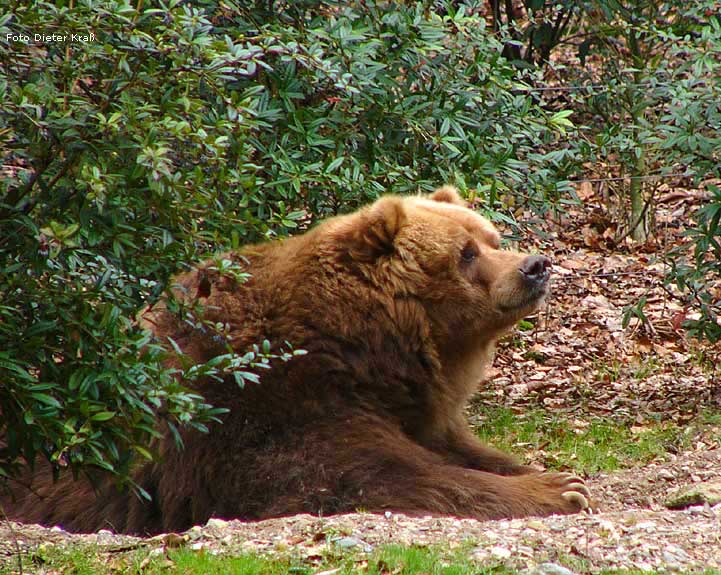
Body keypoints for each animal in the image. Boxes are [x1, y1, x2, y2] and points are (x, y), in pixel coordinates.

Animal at [1, 187, 592, 532]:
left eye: (492, 236)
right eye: (465, 254)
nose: (535, 265)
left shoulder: (412, 405)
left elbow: (463, 449)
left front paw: (554, 474)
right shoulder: (268, 401)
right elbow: (367, 472)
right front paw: (558, 490)